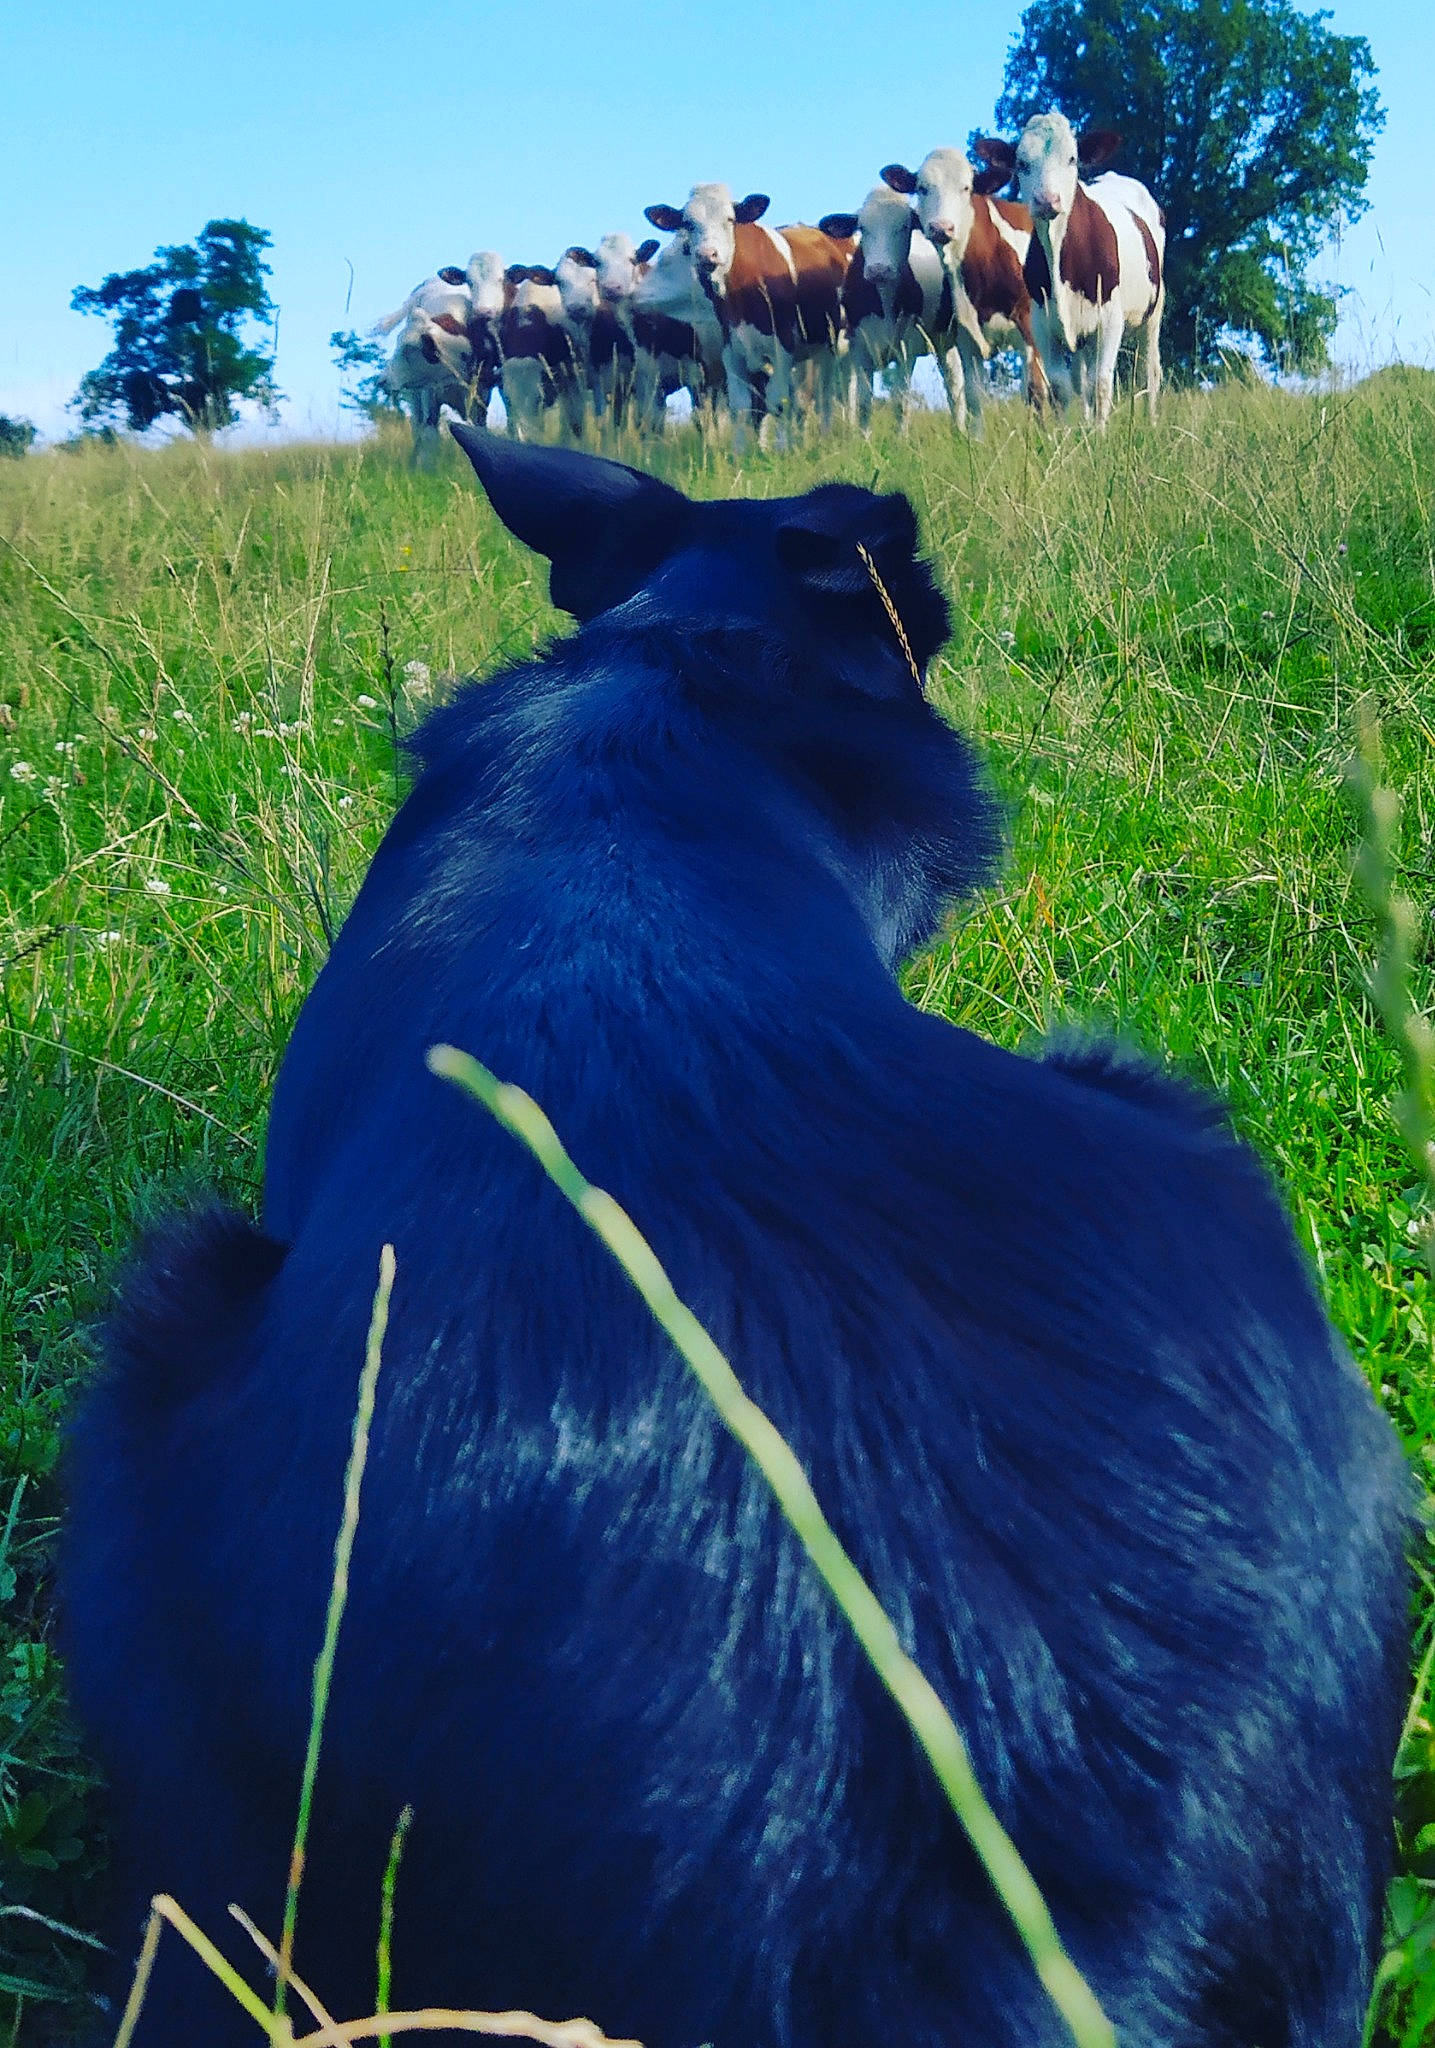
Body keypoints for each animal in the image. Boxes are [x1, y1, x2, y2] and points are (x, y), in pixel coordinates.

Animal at [642, 184, 853, 443]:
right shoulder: (731, 351)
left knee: (829, 395)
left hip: (834, 347)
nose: (707, 255)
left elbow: (779, 403)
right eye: (688, 223)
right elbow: (741, 407)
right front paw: (741, 451)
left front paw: (782, 449)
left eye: (729, 219)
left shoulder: (781, 349)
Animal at [817, 185, 954, 428]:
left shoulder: (906, 349)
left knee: (955, 389)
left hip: (945, 339)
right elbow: (862, 404)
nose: (879, 269)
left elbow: (901, 403)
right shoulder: (859, 347)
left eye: (905, 227)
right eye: (862, 228)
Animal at [880, 151, 1051, 427]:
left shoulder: (1029, 327)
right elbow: (973, 397)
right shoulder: (965, 339)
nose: (941, 227)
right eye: (922, 188)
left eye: (966, 188)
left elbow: (1035, 390)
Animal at [974, 117, 1164, 427]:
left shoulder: (1109, 320)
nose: (1047, 200)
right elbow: (1061, 388)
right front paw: (1065, 436)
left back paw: (1151, 422)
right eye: (1022, 163)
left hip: (1153, 312)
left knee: (1149, 370)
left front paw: (1100, 434)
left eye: (1072, 158)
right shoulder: (1042, 324)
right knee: (1080, 380)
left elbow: (1101, 384)